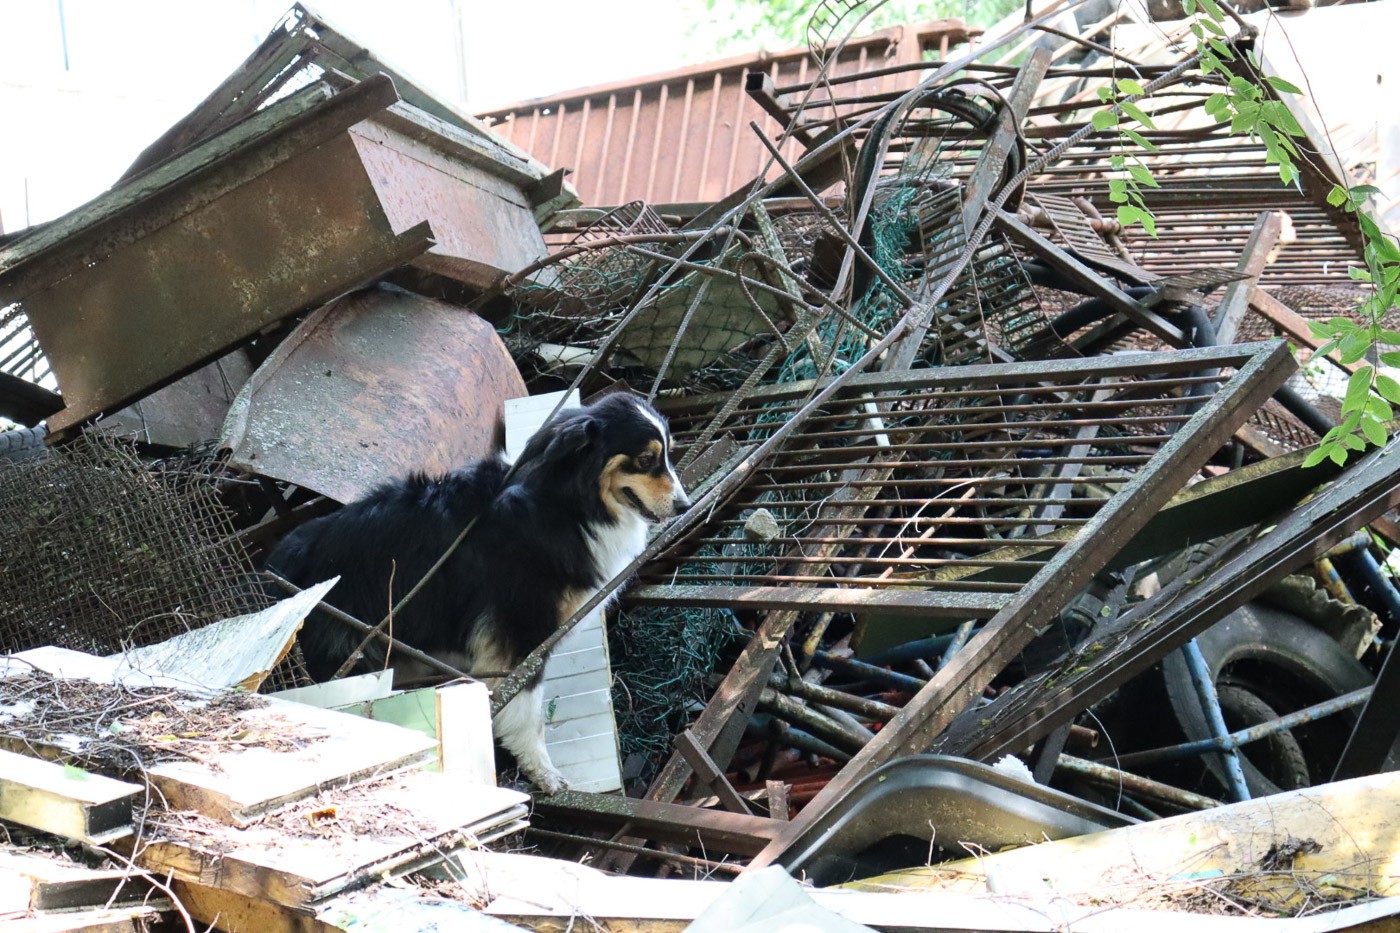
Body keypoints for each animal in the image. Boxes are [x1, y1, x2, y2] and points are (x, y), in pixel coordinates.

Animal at [264, 393, 689, 792]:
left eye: (669, 453)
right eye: (646, 459)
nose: (684, 506)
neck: (564, 502)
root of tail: (283, 559)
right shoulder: (519, 629)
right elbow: (527, 711)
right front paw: (544, 773)